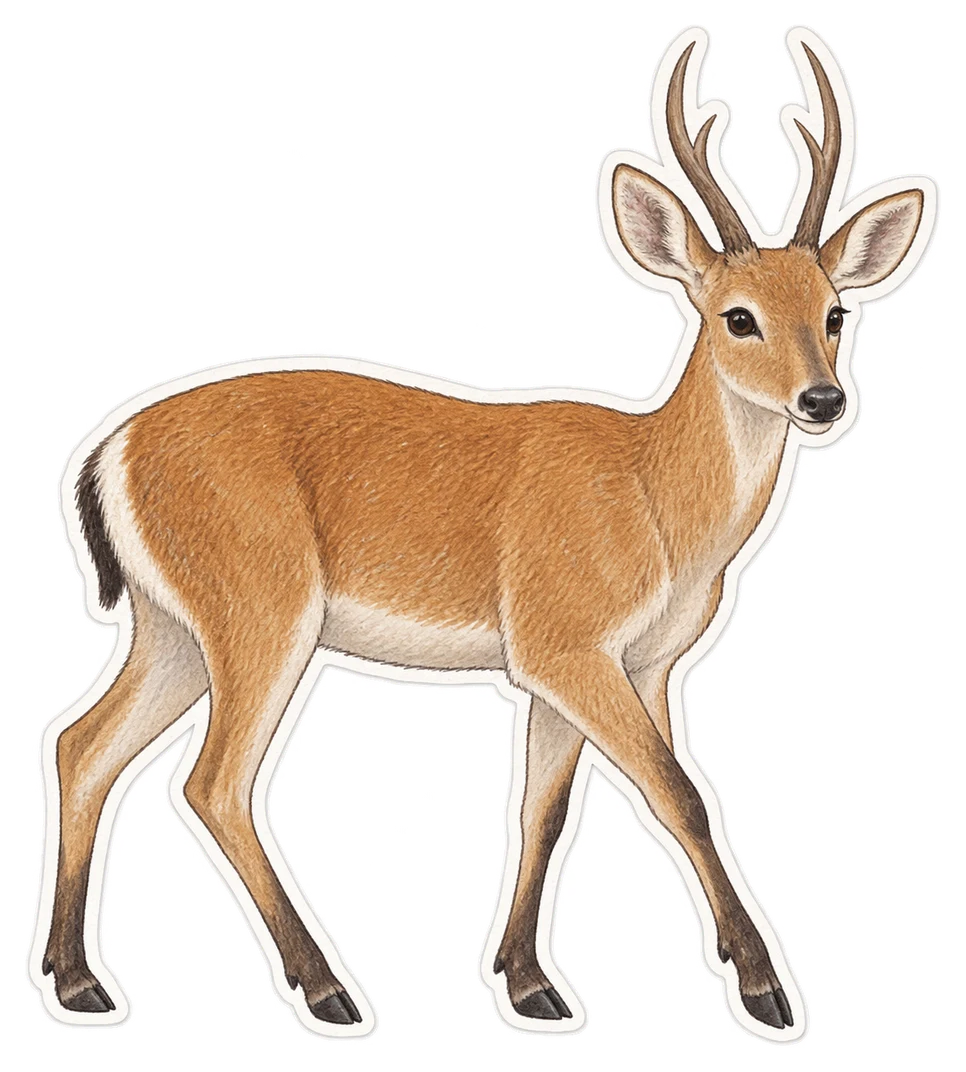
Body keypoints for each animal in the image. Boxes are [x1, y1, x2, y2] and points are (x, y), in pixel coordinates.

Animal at [36, 29, 929, 1038]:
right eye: (738, 316)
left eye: (835, 313)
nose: (823, 400)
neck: (652, 499)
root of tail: (108, 453)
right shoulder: (566, 639)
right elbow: (680, 794)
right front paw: (767, 992)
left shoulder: (622, 662)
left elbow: (546, 806)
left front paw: (530, 982)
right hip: (259, 607)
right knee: (213, 780)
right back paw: (329, 990)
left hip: (173, 628)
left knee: (82, 744)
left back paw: (78, 979)